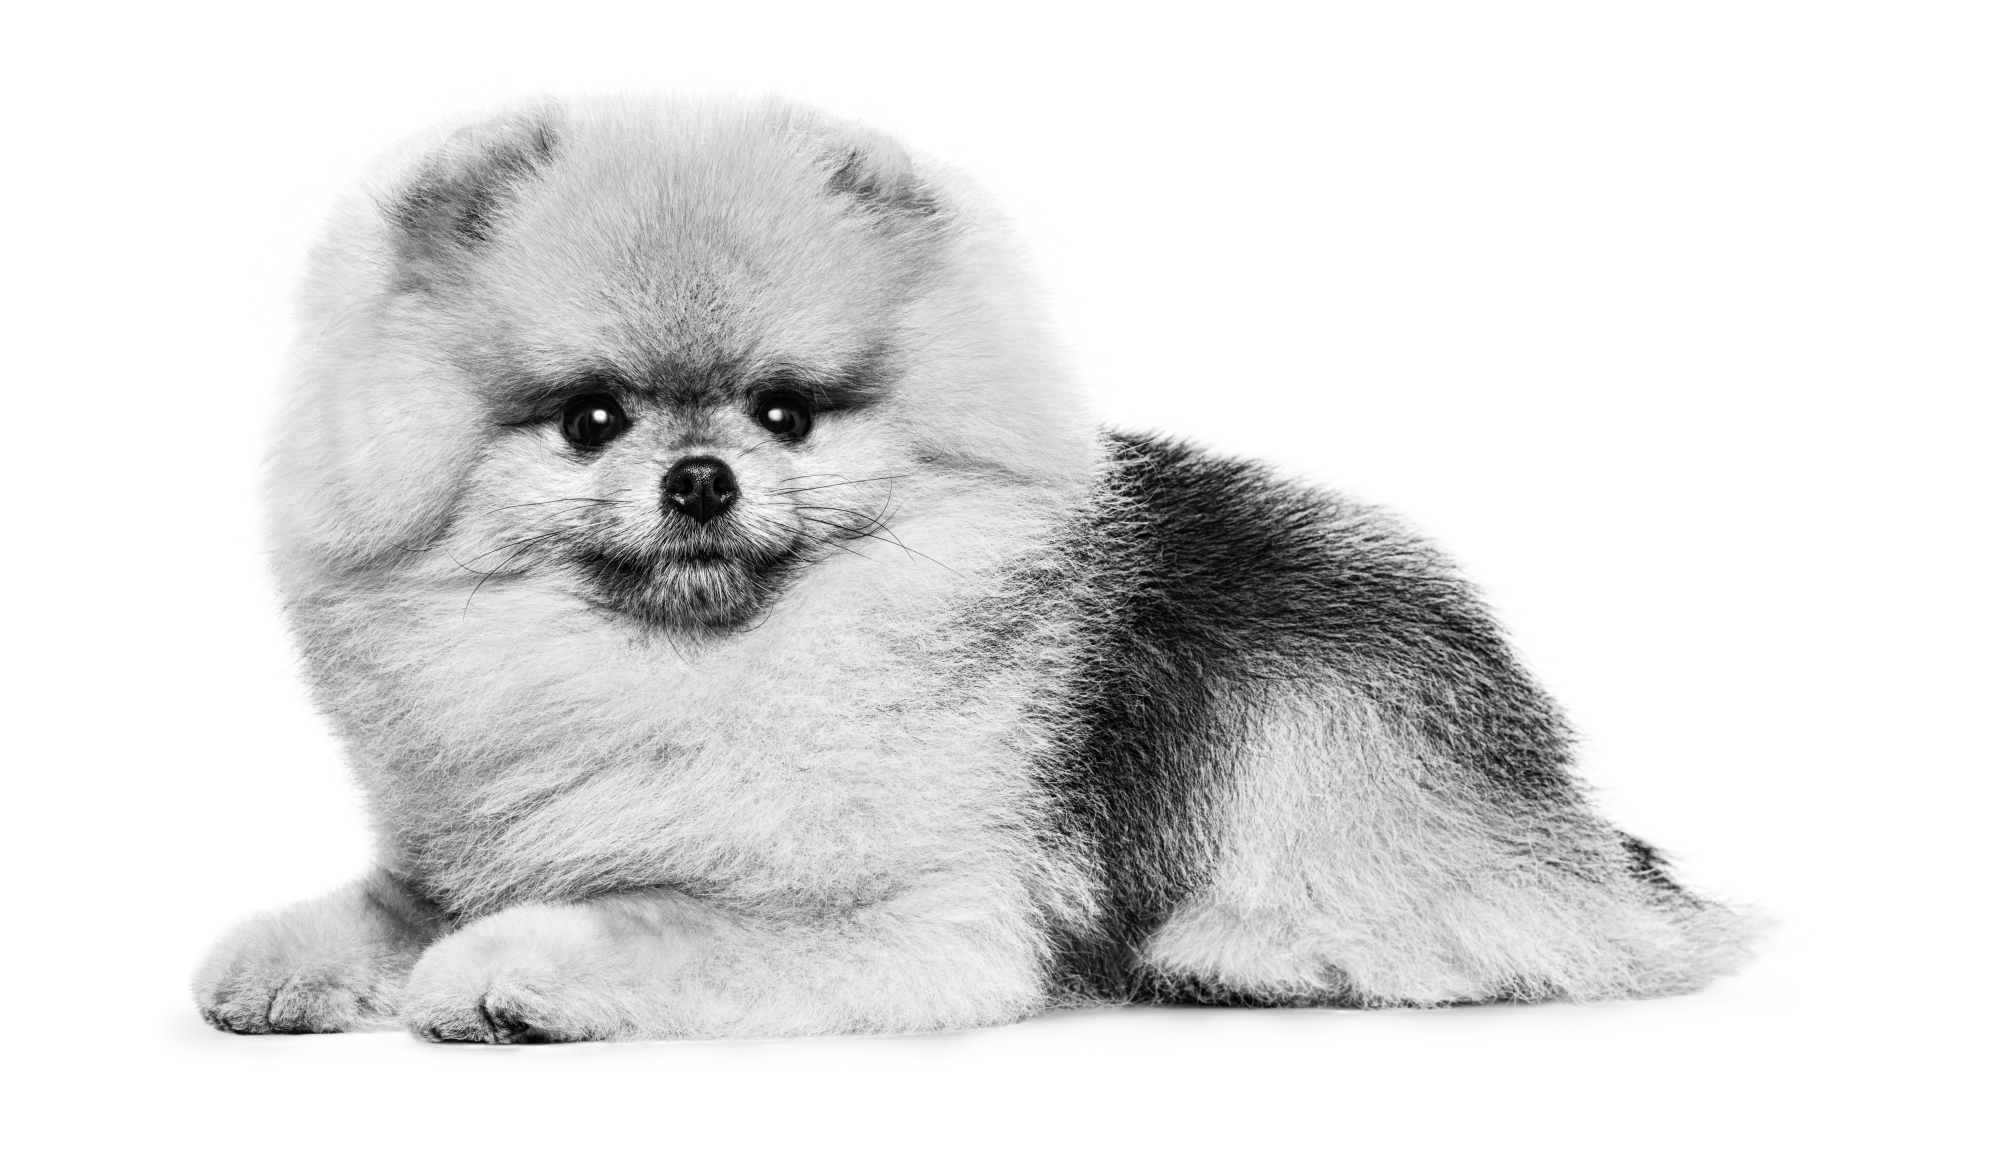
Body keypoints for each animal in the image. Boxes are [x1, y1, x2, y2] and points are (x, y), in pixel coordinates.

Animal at [195, 93, 1760, 1040]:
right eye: (590, 420)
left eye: (785, 412)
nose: (699, 478)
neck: (682, 677)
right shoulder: (467, 844)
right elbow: (388, 906)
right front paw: (276, 961)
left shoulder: (910, 917)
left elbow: (656, 919)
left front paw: (506, 969)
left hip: (1330, 759)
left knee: (1498, 932)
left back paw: (1248, 955)